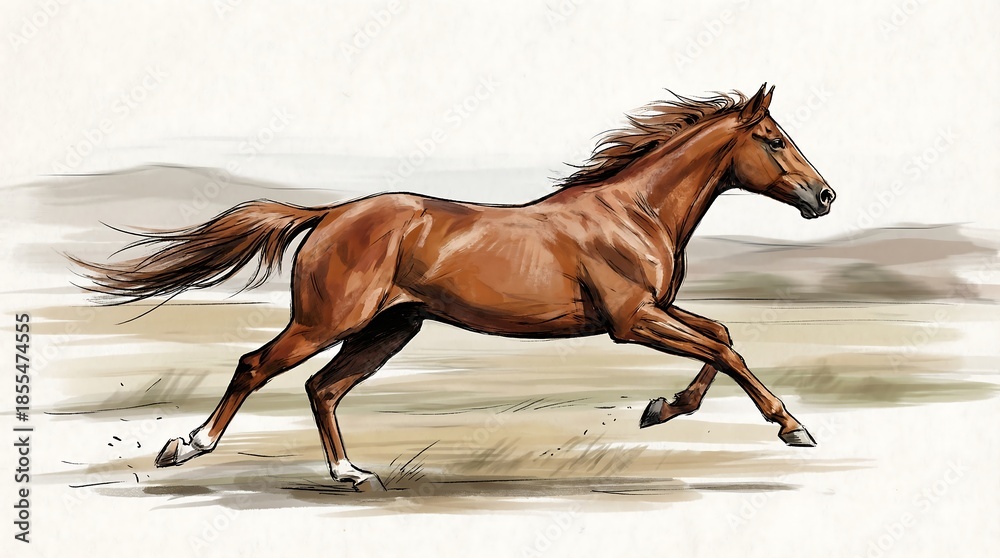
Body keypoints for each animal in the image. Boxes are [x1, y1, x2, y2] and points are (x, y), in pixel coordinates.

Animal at [71, 84, 835, 492]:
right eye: (772, 139)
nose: (824, 196)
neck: (633, 210)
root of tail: (329, 214)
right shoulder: (633, 319)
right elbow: (727, 348)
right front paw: (794, 428)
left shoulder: (657, 310)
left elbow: (721, 337)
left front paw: (661, 408)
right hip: (328, 321)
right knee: (256, 365)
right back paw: (186, 446)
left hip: (389, 328)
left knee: (323, 387)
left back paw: (351, 473)